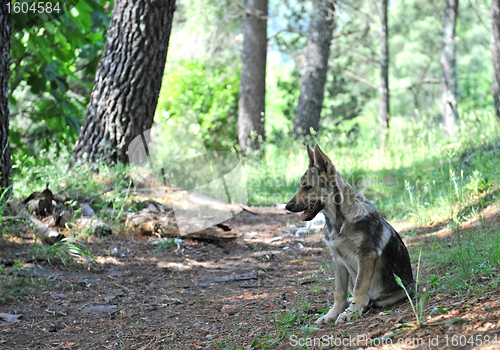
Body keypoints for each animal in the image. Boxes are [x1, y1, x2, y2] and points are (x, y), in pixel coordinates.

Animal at [286, 145, 414, 326]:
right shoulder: (337, 259)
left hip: (402, 289)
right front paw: (332, 314)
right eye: (300, 186)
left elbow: (359, 288)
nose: (287, 206)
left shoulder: (366, 255)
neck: (338, 222)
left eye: (307, 187)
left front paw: (352, 311)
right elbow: (339, 293)